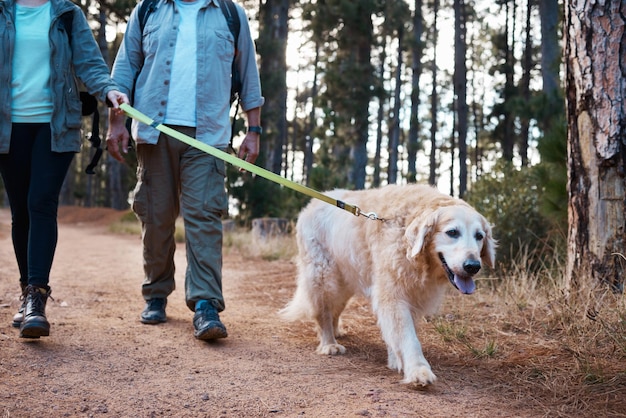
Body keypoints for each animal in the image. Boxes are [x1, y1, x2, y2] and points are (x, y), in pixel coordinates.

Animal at [280, 185, 494, 386]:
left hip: (344, 282)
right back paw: (329, 343)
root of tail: (311, 204)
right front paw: (418, 370)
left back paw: (336, 332)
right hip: (324, 278)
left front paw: (395, 359)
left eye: (479, 236)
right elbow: (408, 337)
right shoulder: (393, 295)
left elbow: (398, 333)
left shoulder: (411, 296)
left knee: (335, 310)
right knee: (323, 312)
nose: (473, 266)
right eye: (452, 232)